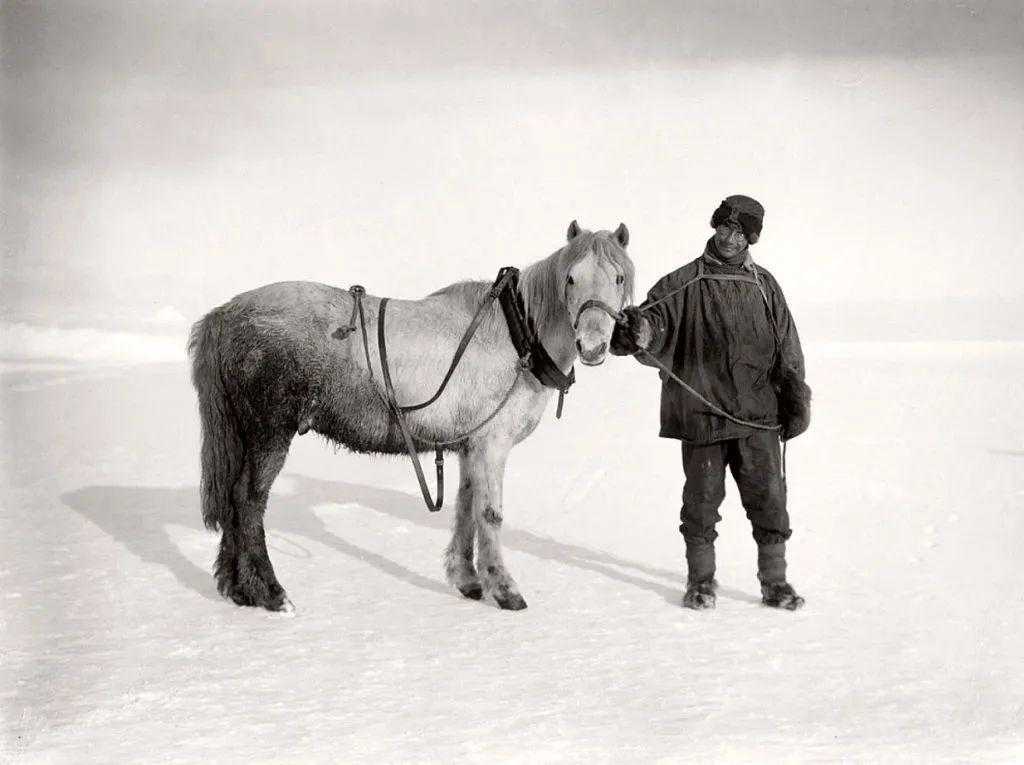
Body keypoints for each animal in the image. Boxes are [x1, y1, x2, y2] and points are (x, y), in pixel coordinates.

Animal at [185, 220, 630, 610]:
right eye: (570, 278)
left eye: (619, 278)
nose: (592, 345)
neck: (516, 335)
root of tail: (227, 313)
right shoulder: (492, 445)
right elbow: (490, 514)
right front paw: (504, 590)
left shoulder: (469, 446)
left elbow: (466, 508)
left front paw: (468, 580)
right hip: (268, 433)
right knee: (248, 501)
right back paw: (271, 593)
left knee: (234, 503)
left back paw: (239, 590)